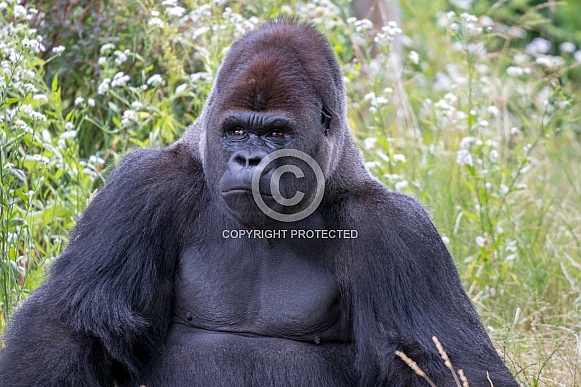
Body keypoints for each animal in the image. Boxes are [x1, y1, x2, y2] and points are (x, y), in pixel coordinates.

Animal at [0, 18, 516, 387]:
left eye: (276, 134)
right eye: (236, 130)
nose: (248, 159)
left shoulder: (400, 231)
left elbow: (447, 362)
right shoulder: (140, 190)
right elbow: (70, 327)